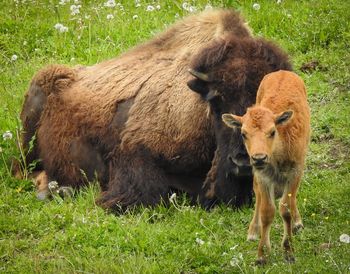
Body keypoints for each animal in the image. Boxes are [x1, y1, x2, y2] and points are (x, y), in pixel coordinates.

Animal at [18, 8, 292, 210]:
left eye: (270, 104)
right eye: (217, 100)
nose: (244, 160)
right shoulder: (135, 154)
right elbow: (147, 194)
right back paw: (54, 190)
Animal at [223, 70, 310, 264]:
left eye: (272, 132)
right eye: (243, 133)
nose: (259, 158)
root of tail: (282, 72)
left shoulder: (295, 172)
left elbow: (285, 208)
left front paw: (288, 252)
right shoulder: (263, 177)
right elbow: (267, 211)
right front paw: (262, 255)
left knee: (291, 200)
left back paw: (297, 223)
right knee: (257, 194)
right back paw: (253, 231)